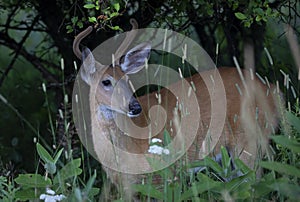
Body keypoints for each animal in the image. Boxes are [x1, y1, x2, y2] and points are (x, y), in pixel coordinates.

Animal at [72, 19, 282, 200]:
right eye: (106, 82)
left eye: (127, 80)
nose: (134, 106)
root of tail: (272, 89)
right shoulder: (125, 185)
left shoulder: (162, 173)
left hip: (251, 142)